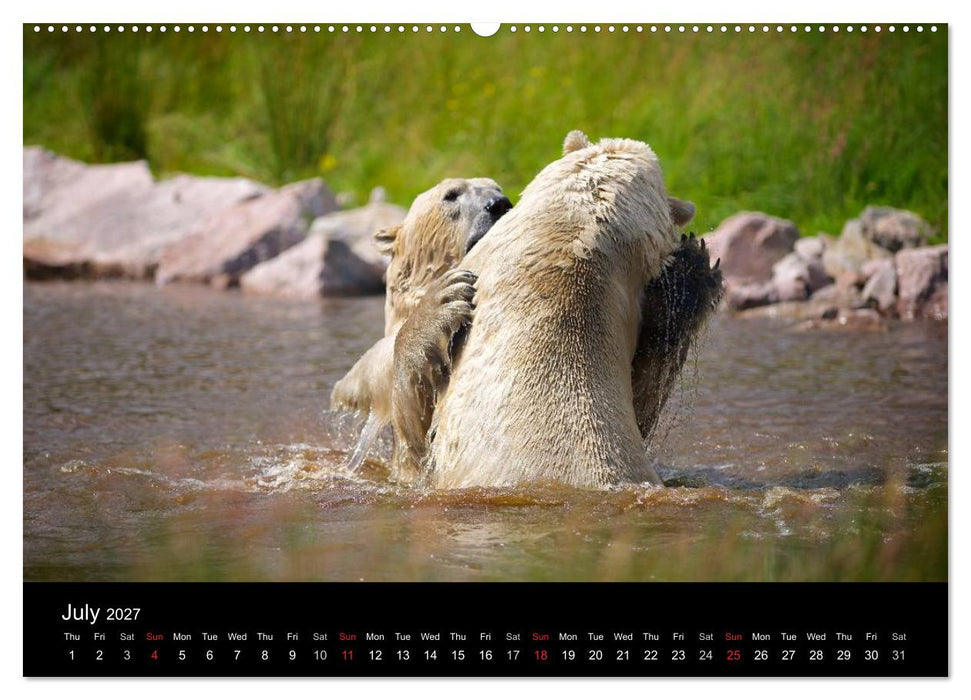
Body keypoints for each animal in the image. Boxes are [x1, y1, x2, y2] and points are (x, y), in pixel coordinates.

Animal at [330, 177, 511, 465]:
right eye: (451, 195)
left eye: (497, 187)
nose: (499, 204)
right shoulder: (384, 373)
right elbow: (413, 427)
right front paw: (441, 300)